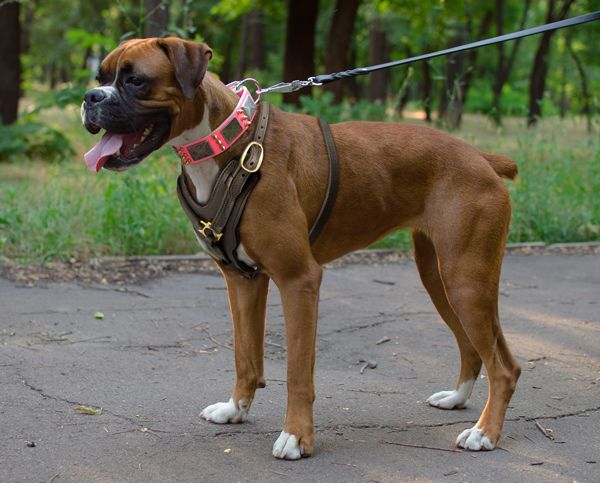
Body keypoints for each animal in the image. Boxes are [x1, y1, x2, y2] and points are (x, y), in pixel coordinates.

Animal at [82, 38, 524, 462]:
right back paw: (458, 399)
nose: (90, 96)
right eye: (100, 76)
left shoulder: (299, 281)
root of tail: (481, 157)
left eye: (135, 80)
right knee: (476, 348)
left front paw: (296, 438)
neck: (228, 144)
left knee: (505, 367)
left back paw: (484, 434)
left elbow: (297, 372)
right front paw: (235, 409)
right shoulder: (242, 281)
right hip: (441, 278)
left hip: (465, 281)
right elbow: (245, 356)